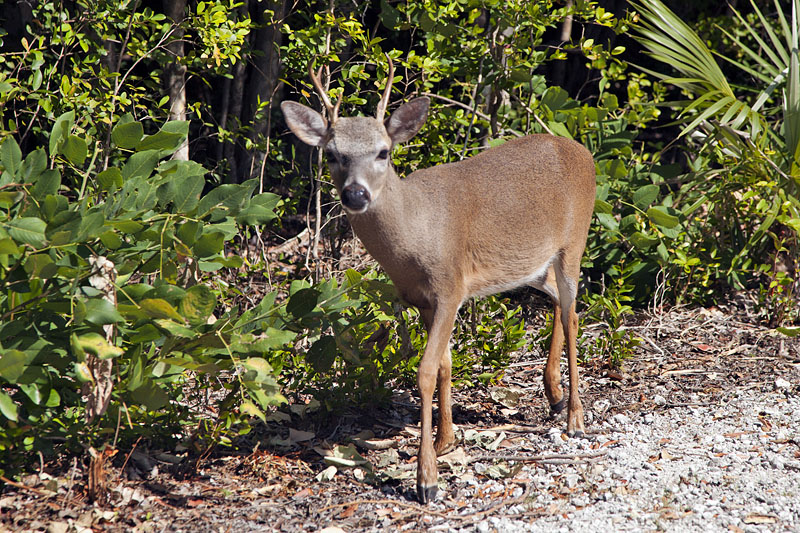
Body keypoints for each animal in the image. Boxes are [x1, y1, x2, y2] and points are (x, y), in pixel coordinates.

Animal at [282, 58, 592, 502]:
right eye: (332, 154)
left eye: (383, 151)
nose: (356, 195)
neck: (414, 237)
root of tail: (582, 151)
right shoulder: (422, 299)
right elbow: (444, 363)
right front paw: (446, 440)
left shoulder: (450, 286)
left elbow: (426, 371)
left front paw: (426, 477)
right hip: (530, 263)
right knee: (555, 300)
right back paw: (552, 395)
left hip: (574, 241)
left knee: (572, 312)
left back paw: (575, 418)